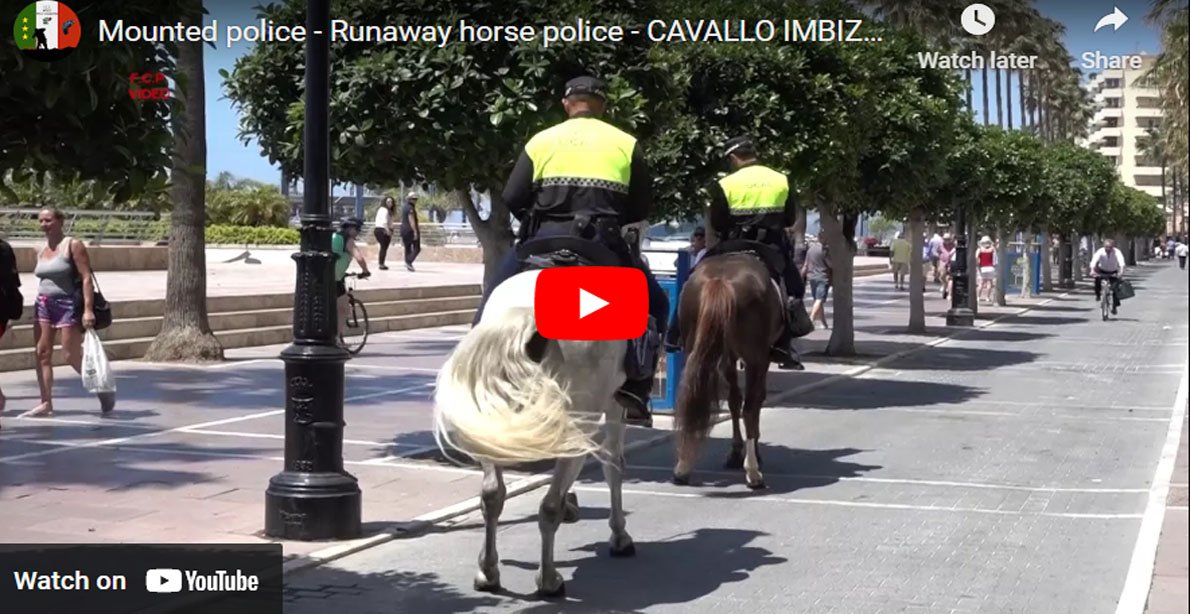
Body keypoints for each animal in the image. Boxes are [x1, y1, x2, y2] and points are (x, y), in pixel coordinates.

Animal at [428, 268, 633, 594]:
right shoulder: (615, 405)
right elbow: (613, 466)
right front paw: (619, 536)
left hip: (492, 421)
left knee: (492, 495)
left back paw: (488, 571)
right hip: (581, 419)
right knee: (549, 505)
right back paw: (548, 579)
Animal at [675, 251, 785, 490]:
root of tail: (720, 280)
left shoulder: (727, 358)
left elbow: (734, 401)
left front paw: (735, 453)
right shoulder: (760, 359)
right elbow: (753, 402)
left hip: (693, 350)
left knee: (690, 398)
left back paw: (683, 466)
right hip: (756, 358)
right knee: (751, 408)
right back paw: (753, 472)